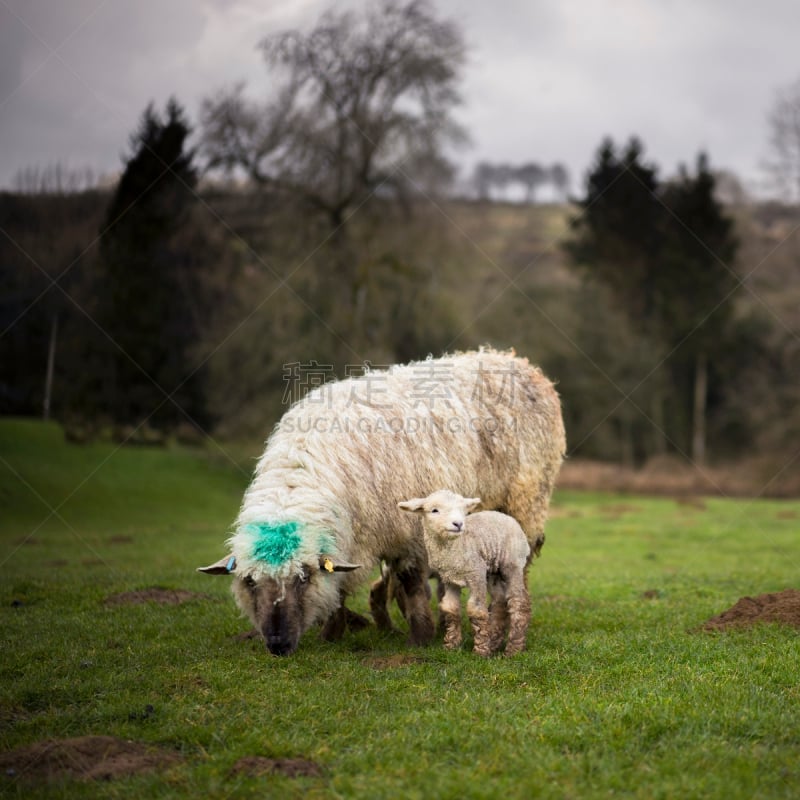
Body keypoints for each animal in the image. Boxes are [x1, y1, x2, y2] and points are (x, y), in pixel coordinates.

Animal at [398, 488, 532, 656]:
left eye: (463, 510)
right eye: (434, 510)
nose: (458, 524)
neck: (456, 547)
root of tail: (508, 517)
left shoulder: (476, 573)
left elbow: (476, 610)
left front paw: (481, 651)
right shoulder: (449, 579)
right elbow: (450, 608)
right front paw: (451, 645)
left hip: (512, 564)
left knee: (518, 601)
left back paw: (514, 648)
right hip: (491, 571)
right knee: (500, 601)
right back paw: (494, 641)